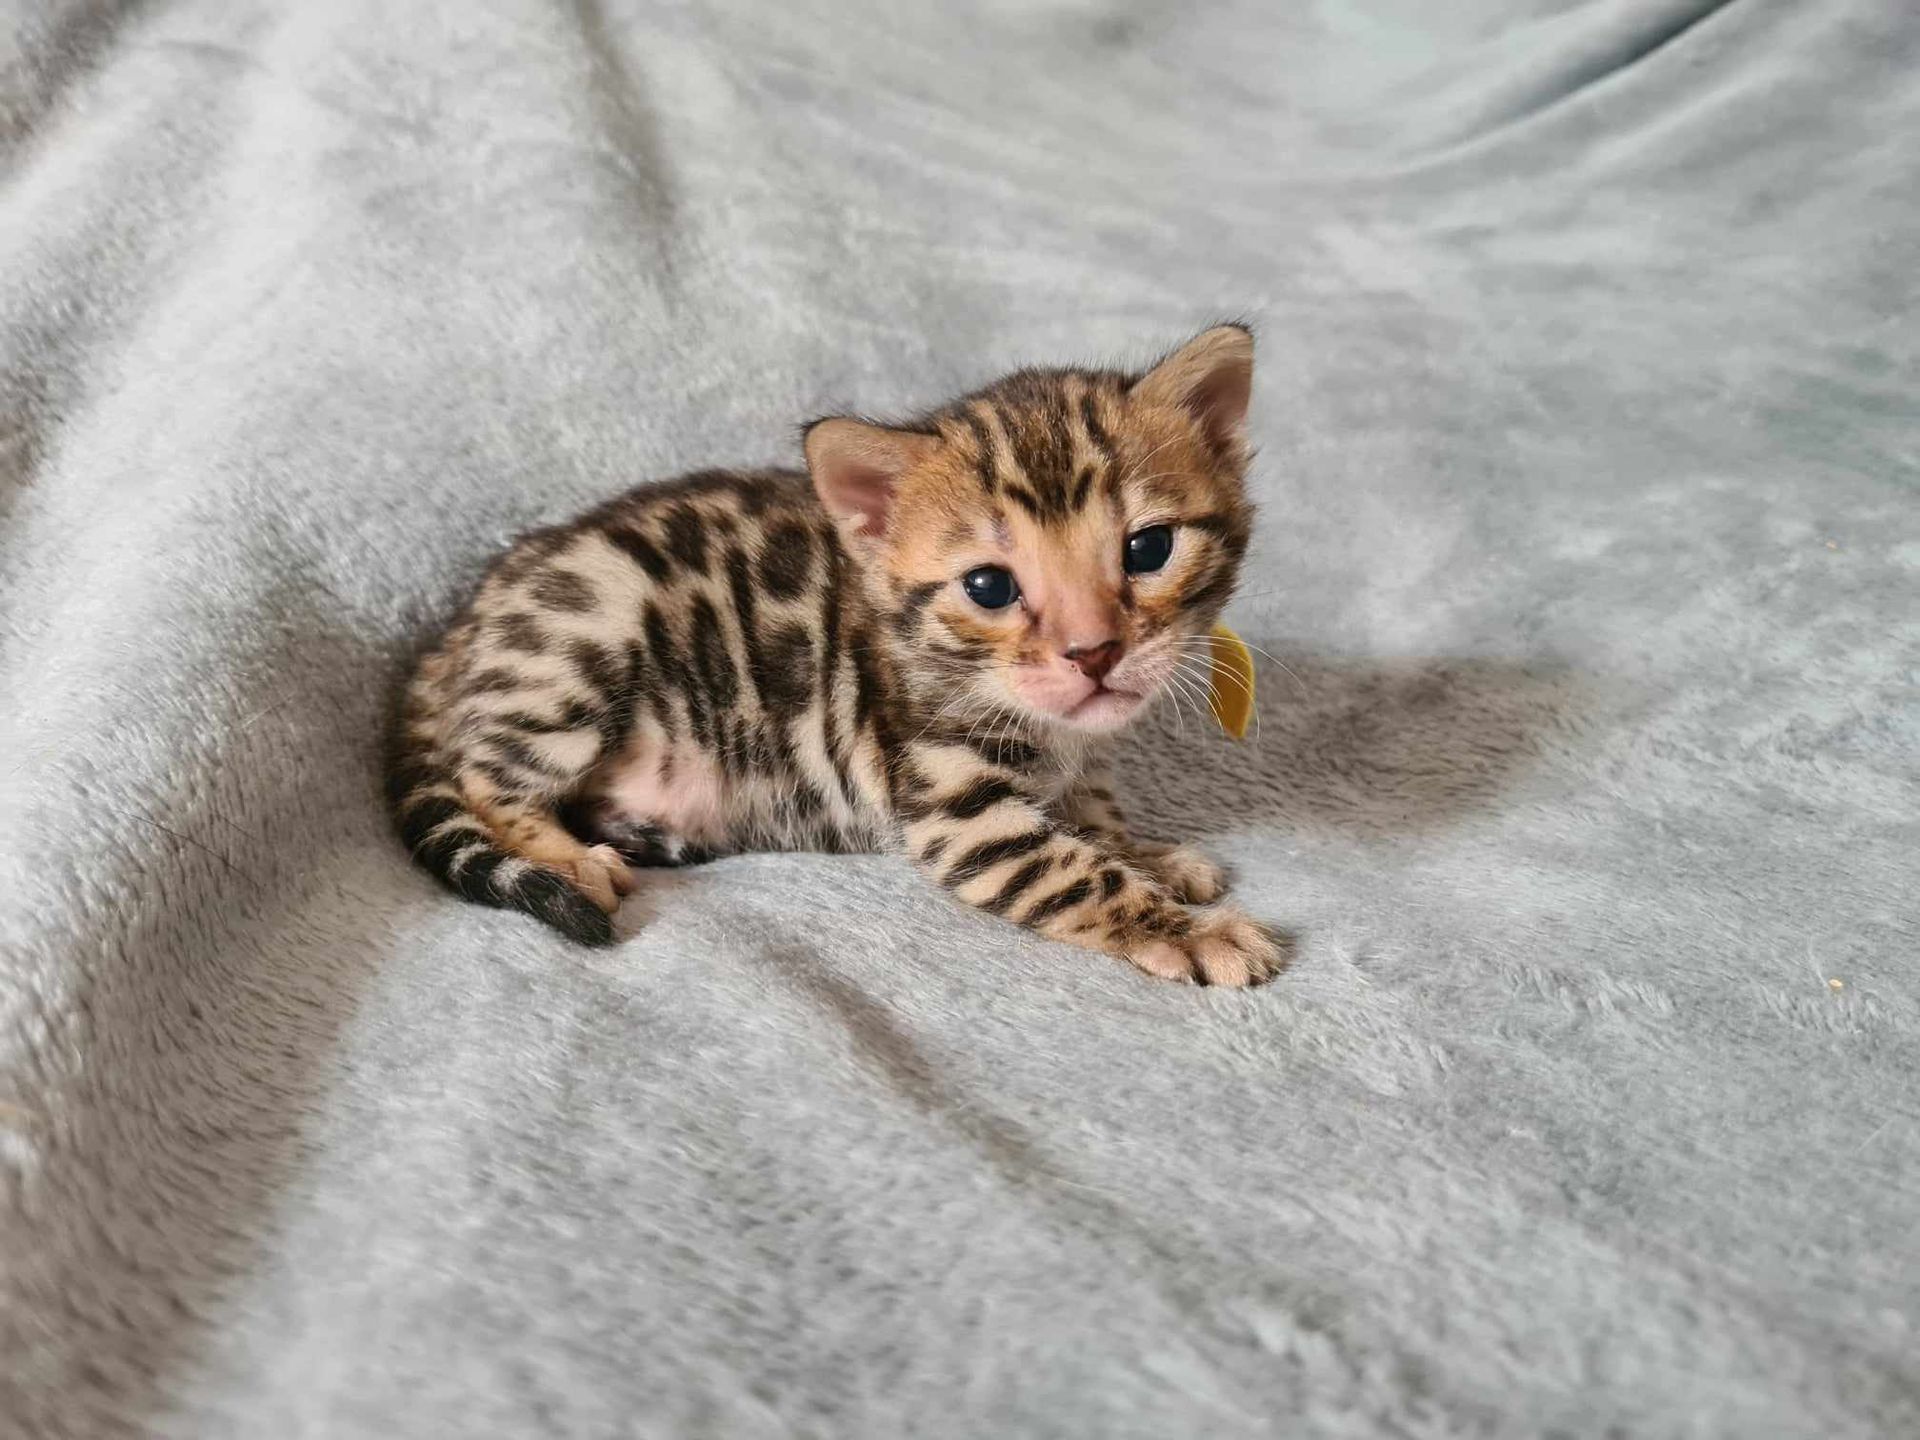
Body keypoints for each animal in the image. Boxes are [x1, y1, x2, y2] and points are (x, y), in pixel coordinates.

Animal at [388, 325, 1283, 985]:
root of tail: (469, 616)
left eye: (1149, 548)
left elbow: (1092, 819)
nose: (1092, 652)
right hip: (583, 641)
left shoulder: (1075, 760)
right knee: (483, 777)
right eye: (990, 586)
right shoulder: (960, 812)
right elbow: (1075, 872)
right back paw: (569, 859)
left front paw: (1148, 855)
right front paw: (1188, 930)